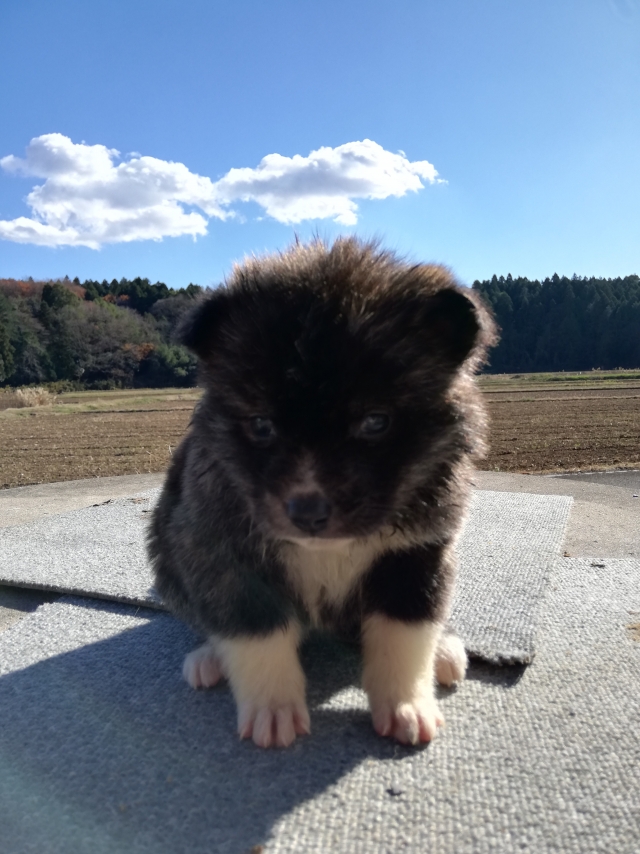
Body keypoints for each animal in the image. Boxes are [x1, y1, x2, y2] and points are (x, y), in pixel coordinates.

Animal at [148, 236, 498, 748]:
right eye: (261, 424)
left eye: (375, 421)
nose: (308, 513)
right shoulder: (220, 549)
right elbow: (255, 628)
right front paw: (272, 708)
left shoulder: (419, 553)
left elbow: (405, 632)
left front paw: (406, 705)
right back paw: (209, 657)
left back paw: (443, 650)